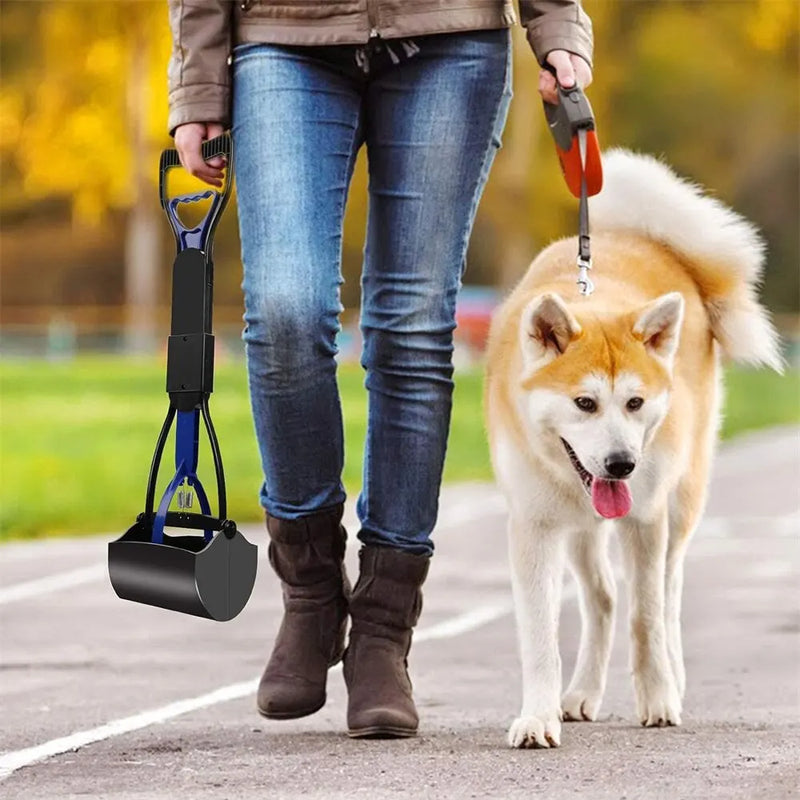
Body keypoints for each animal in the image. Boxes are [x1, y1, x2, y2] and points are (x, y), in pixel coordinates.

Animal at [484, 150, 784, 752]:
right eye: (585, 403)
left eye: (635, 402)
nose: (622, 463)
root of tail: (639, 236)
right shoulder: (534, 527)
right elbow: (540, 633)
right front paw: (538, 716)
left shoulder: (645, 518)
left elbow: (646, 617)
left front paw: (659, 700)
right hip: (581, 531)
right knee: (601, 597)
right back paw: (580, 693)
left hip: (680, 503)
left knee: (667, 592)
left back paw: (673, 674)